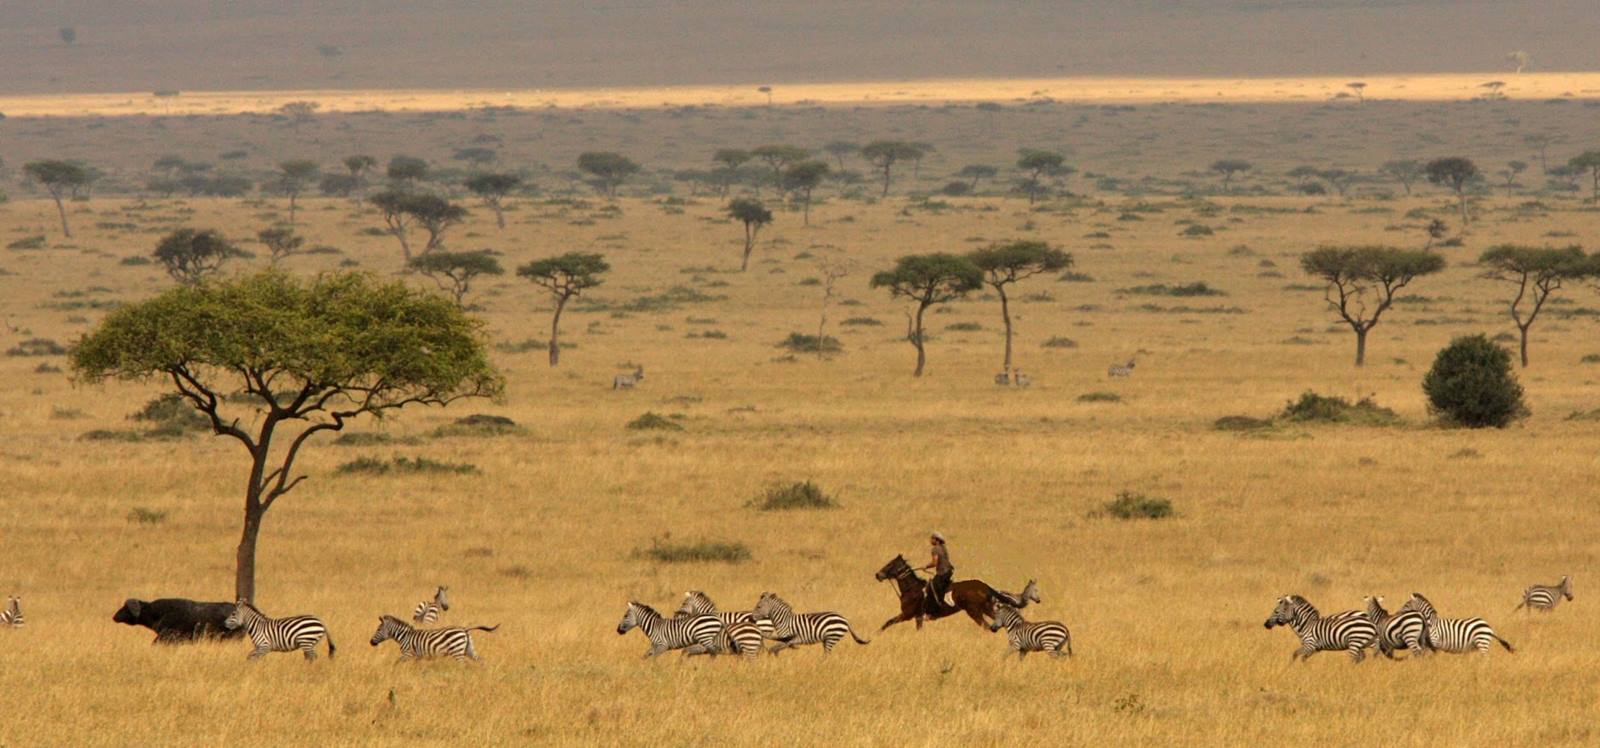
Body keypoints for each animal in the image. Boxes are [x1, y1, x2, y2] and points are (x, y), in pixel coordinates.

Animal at [873, 554, 1039, 631]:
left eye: (890, 564)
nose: (877, 575)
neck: (912, 588)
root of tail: (985, 586)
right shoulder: (917, 617)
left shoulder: (907, 615)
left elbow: (887, 623)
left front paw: (874, 637)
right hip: (987, 609)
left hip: (974, 611)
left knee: (987, 627)